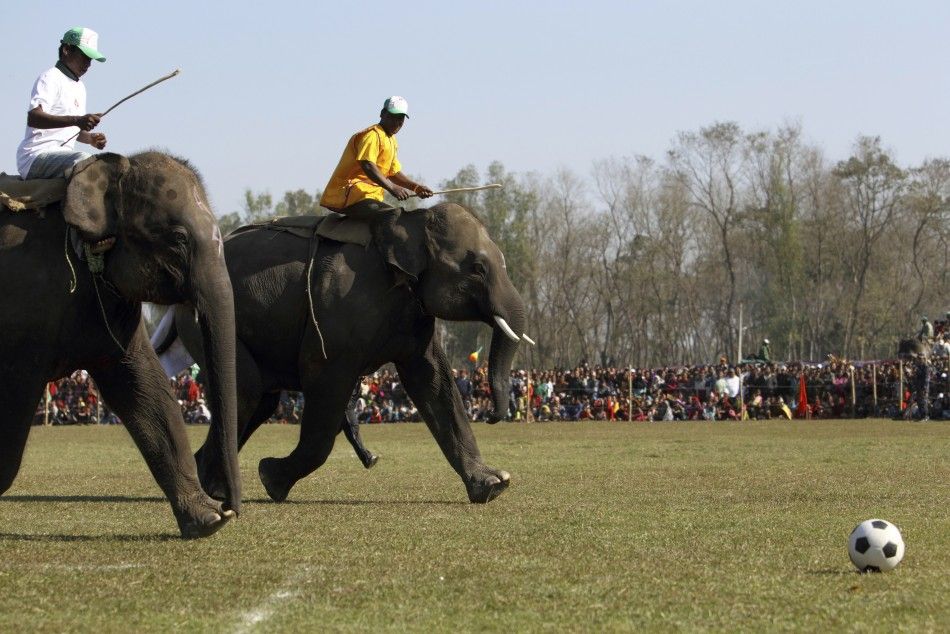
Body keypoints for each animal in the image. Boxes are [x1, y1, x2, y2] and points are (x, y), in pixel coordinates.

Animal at [0, 151, 242, 536]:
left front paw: (208, 521)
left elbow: (145, 388)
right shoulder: (26, 306)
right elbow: (14, 396)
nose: (230, 507)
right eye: (178, 238)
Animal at [166, 202, 532, 504]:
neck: (411, 221)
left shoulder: (411, 311)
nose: (491, 415)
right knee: (246, 390)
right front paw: (270, 478)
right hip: (205, 321)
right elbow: (325, 380)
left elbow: (433, 382)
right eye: (478, 268)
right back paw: (211, 488)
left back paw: (209, 485)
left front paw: (494, 485)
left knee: (260, 399)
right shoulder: (336, 311)